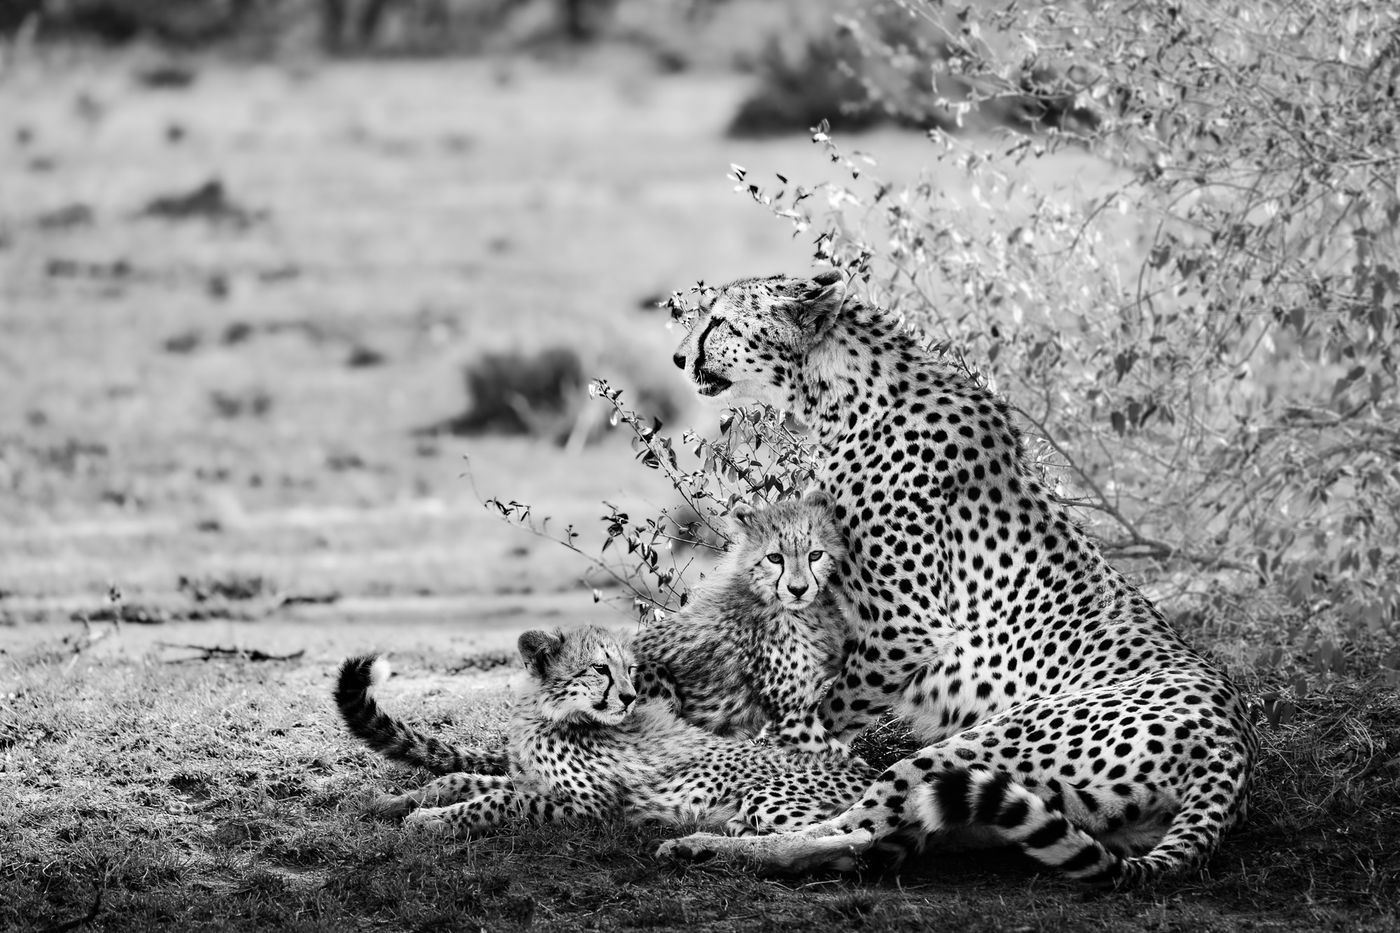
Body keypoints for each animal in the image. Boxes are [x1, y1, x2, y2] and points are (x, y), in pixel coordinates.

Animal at [334, 625, 878, 839]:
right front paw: (395, 802)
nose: (632, 697)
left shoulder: (587, 806)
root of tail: (866, 767)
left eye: (629, 670)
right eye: (600, 668)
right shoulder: (530, 779)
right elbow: (460, 780)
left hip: (771, 799)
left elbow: (495, 801)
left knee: (836, 833)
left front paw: (427, 821)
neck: (549, 714)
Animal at [658, 270, 1258, 886]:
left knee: (859, 837)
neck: (847, 394)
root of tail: (1233, 747)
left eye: (718, 321)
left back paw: (711, 844)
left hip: (977, 746)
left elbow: (820, 712)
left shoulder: (906, 626)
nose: (679, 357)